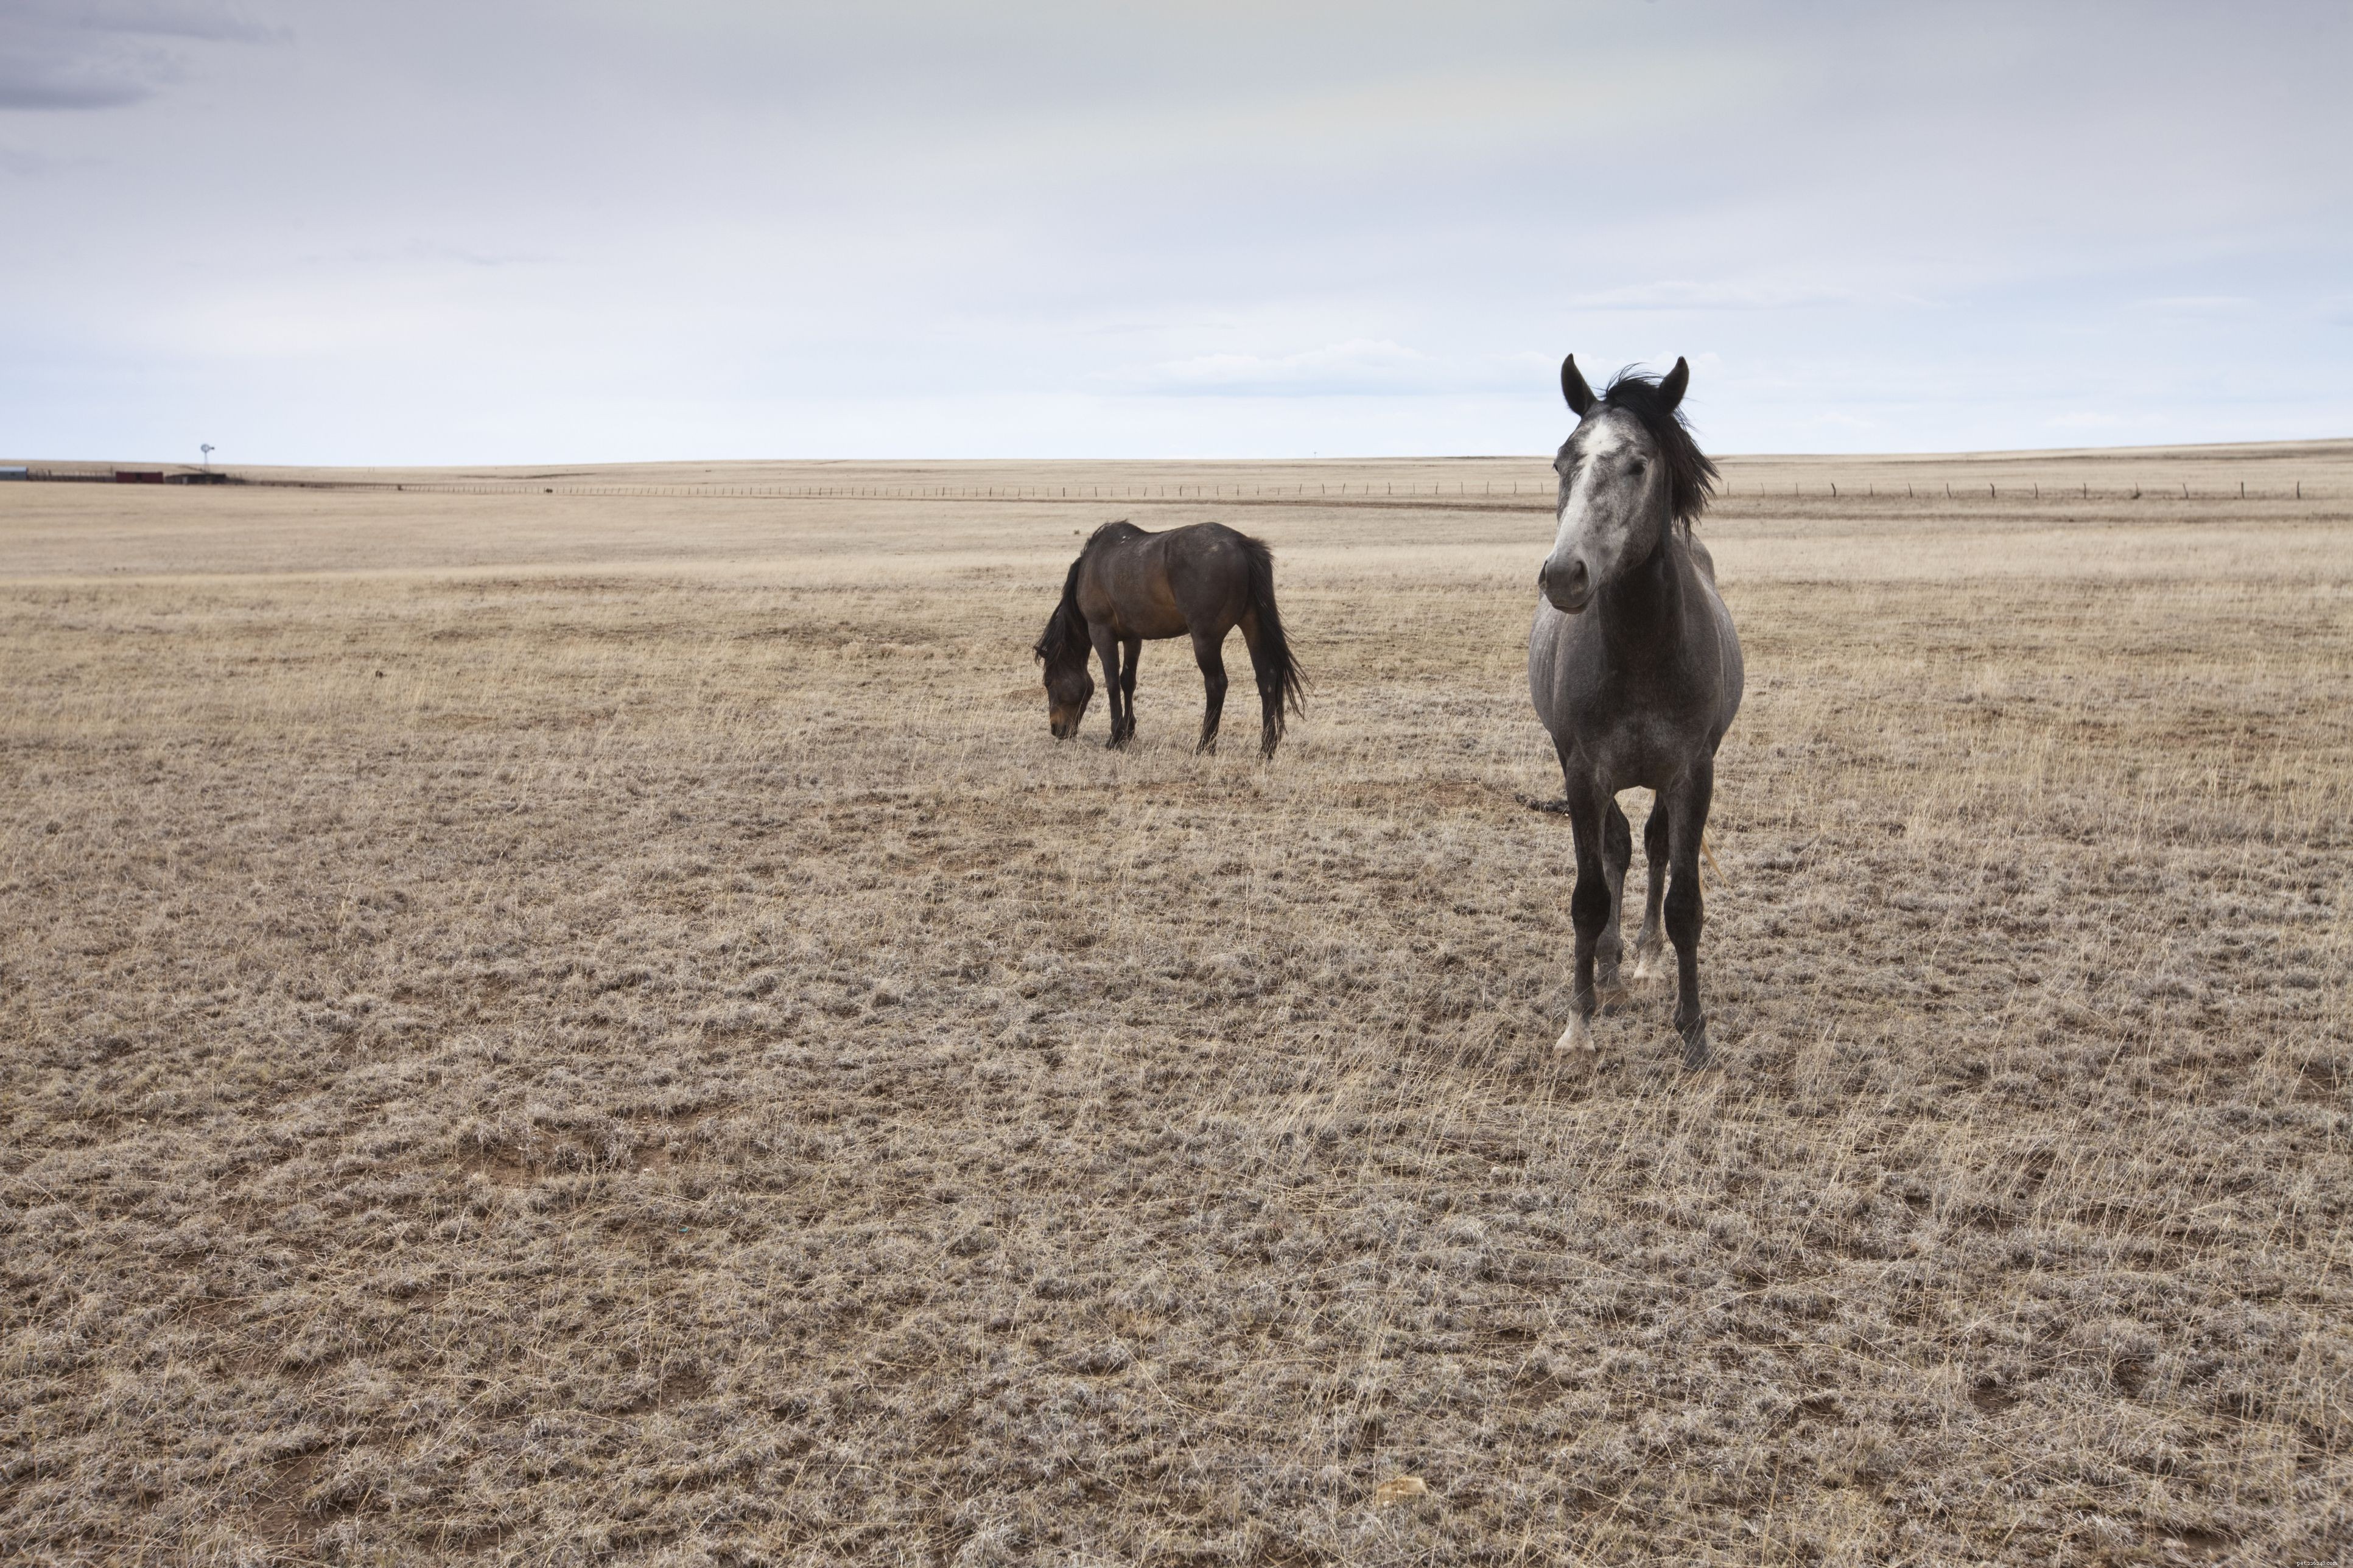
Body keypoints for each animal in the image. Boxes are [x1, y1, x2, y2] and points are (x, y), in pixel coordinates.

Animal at [1034, 520, 1305, 759]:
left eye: (1048, 682)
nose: (1056, 729)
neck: (1093, 564)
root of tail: (1240, 543)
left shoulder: (1101, 632)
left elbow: (1111, 682)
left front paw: (1116, 737)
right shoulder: (1133, 637)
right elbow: (1127, 681)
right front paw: (1129, 732)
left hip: (1205, 639)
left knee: (1216, 684)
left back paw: (1205, 746)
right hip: (1253, 625)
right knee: (1266, 678)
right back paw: (1266, 749)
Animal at [1530, 355, 1743, 1068]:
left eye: (1637, 464)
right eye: (1562, 460)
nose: (1563, 575)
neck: (1643, 648)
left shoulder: (1692, 772)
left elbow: (1684, 903)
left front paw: (1695, 1031)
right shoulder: (1582, 773)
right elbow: (1589, 896)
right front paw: (1578, 1021)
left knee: (1651, 847)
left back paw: (1645, 959)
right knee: (1618, 849)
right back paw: (1611, 968)